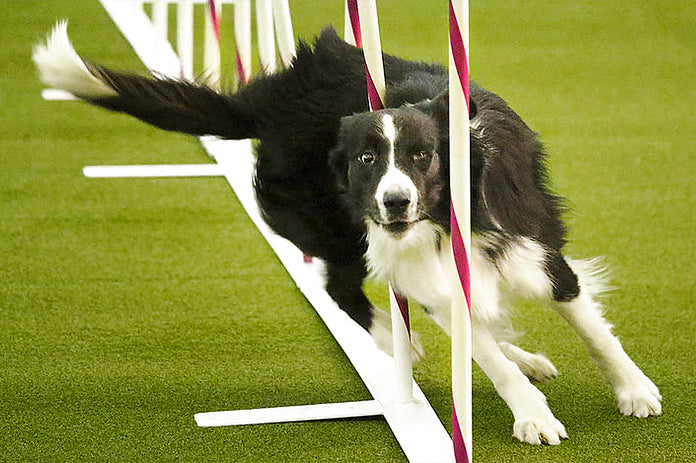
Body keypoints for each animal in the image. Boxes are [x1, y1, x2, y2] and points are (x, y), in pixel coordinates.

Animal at [34, 21, 664, 446]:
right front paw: (533, 416)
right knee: (339, 287)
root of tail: (269, 102)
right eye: (367, 159)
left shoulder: (532, 248)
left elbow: (591, 328)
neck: (442, 221)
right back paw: (394, 338)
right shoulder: (425, 269)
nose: (394, 200)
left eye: (423, 155)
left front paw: (634, 391)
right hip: (332, 224)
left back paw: (521, 354)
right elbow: (484, 353)